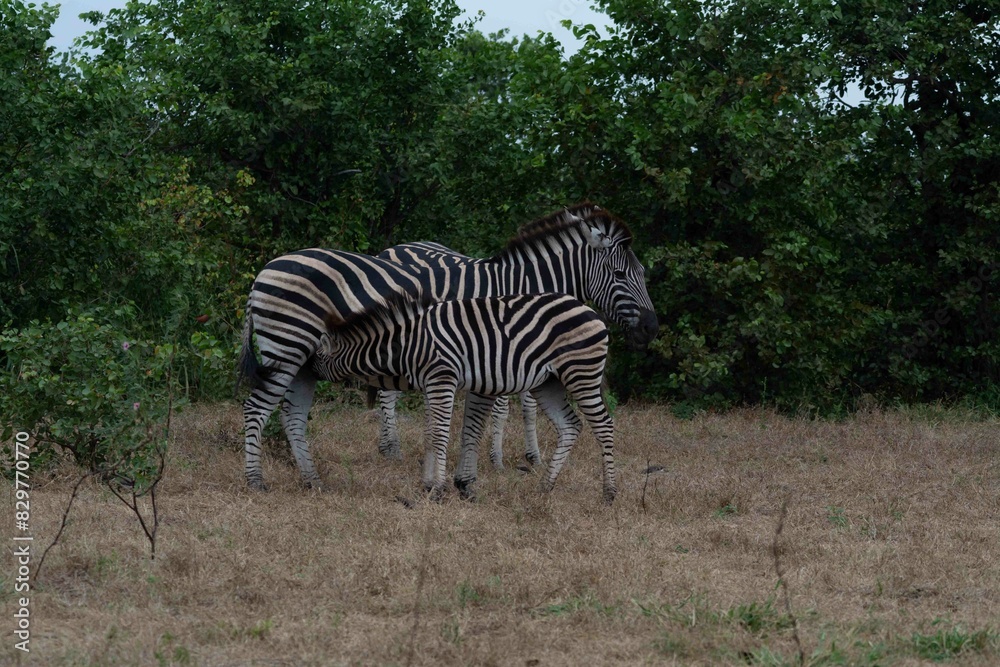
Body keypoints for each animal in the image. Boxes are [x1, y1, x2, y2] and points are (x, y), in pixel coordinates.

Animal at [313, 292, 617, 502]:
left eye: (316, 357)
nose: (303, 373)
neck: (410, 344)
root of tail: (590, 311)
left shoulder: (442, 378)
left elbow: (439, 434)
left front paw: (437, 489)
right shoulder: (430, 383)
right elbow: (428, 433)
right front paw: (427, 485)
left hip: (581, 372)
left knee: (604, 426)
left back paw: (609, 493)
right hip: (548, 383)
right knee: (570, 426)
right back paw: (544, 487)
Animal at [377, 240, 540, 468]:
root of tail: (390, 249)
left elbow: (530, 408)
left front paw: (534, 457)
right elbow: (502, 410)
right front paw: (497, 460)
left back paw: (387, 446)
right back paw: (392, 448)